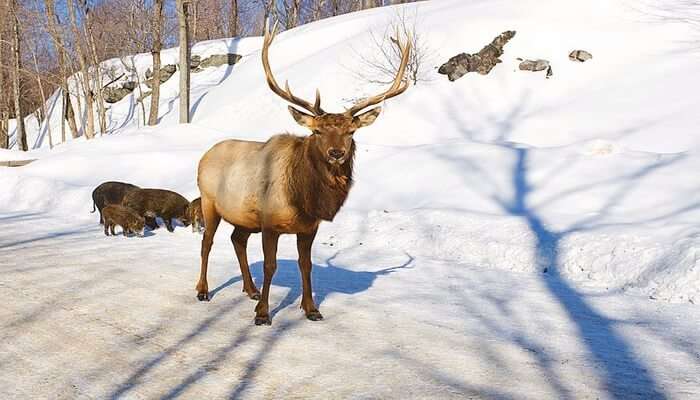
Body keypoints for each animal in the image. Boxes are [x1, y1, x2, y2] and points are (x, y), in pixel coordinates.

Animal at [194, 21, 410, 324]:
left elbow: (305, 265)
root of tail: (204, 157)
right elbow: (270, 265)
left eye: (351, 131)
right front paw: (263, 313)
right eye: (317, 131)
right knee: (207, 242)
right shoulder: (269, 222)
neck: (303, 198)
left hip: (244, 217)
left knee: (237, 240)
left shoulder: (309, 227)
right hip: (209, 201)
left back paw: (250, 289)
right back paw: (203, 290)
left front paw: (311, 308)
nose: (336, 153)